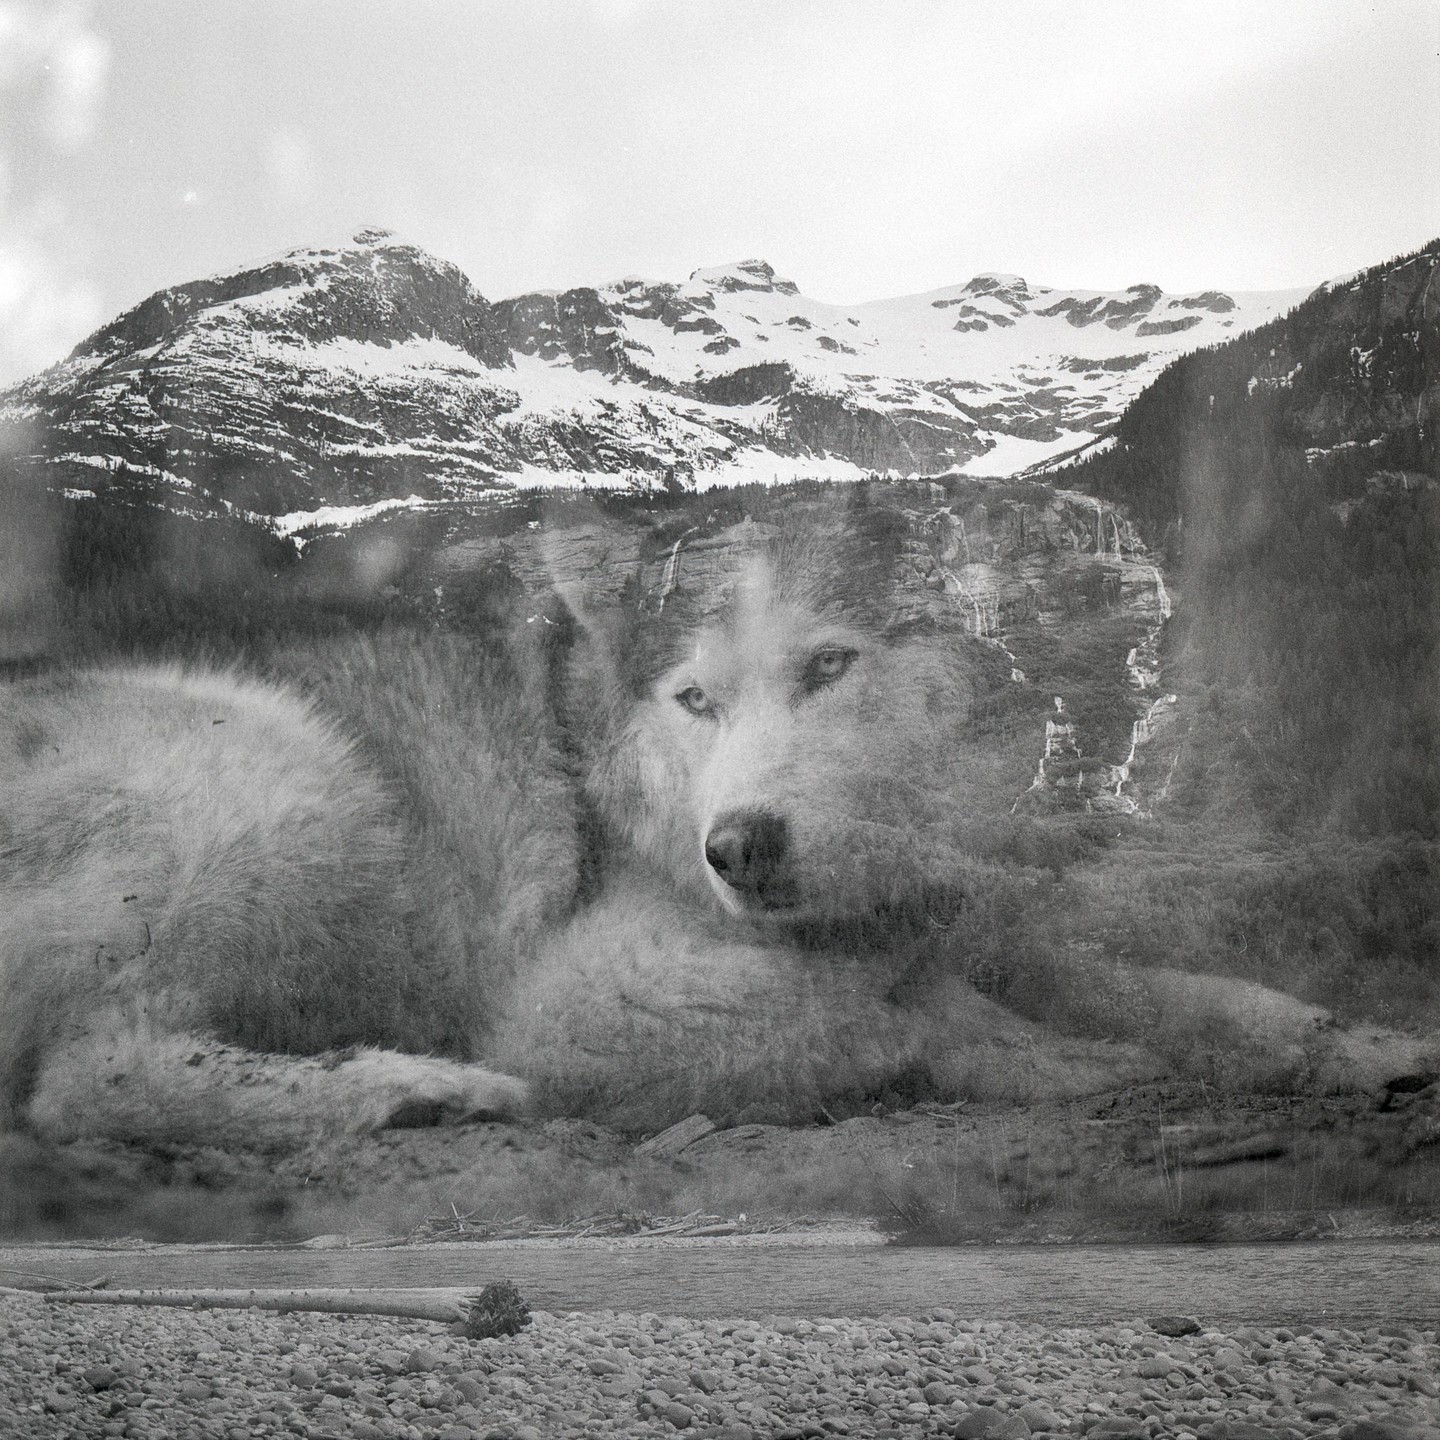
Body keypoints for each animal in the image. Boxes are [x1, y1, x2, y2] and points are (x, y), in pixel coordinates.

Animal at [1, 497, 1421, 1152]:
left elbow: (1178, 990)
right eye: (695, 698)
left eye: (831, 666)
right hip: (294, 785)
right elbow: (917, 1018)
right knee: (87, 1075)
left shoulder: (978, 917)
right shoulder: (576, 996)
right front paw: (1069, 1063)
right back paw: (417, 1091)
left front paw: (1348, 1045)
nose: (736, 848)